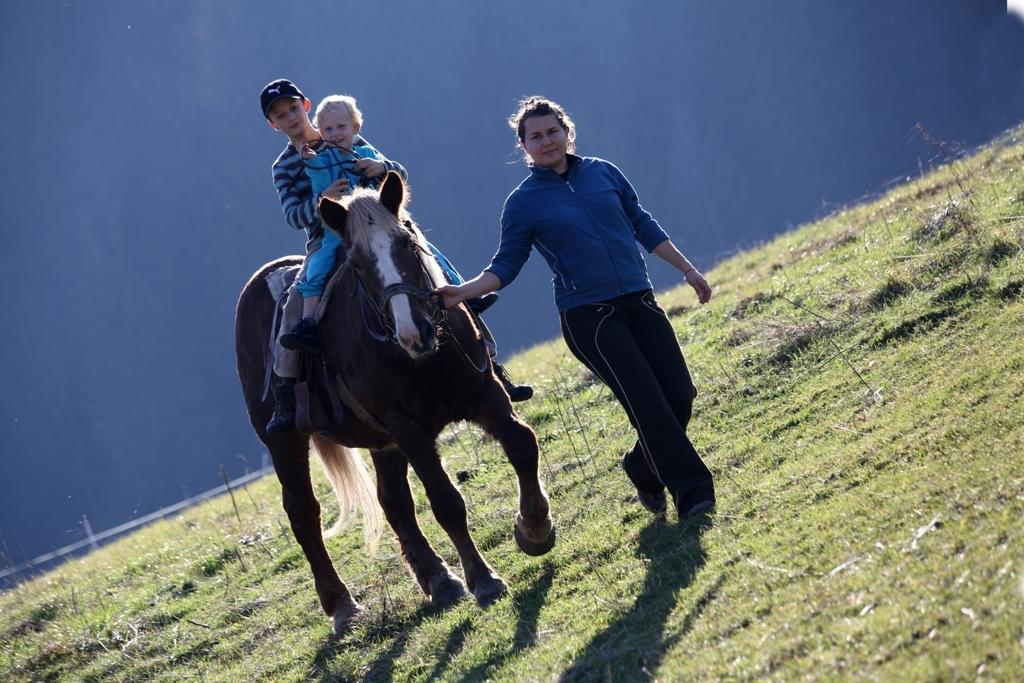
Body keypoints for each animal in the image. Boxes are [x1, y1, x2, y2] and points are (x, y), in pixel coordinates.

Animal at [234, 172, 552, 634]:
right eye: (356, 264)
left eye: (407, 241)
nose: (413, 332)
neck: (425, 358)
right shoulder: (408, 429)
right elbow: (445, 501)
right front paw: (484, 580)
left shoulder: (484, 393)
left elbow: (522, 444)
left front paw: (534, 529)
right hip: (285, 442)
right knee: (303, 514)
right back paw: (342, 605)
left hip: (383, 444)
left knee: (393, 501)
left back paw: (439, 580)